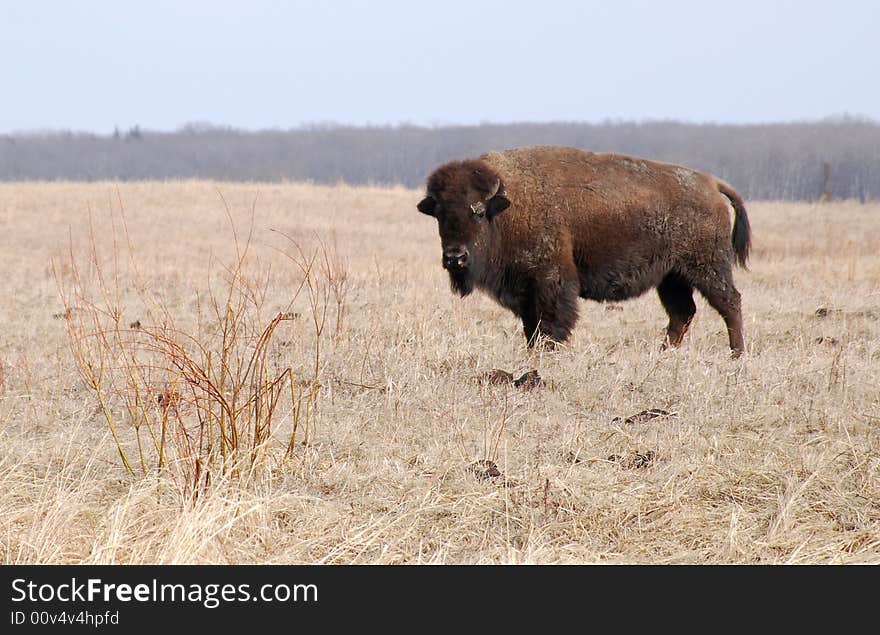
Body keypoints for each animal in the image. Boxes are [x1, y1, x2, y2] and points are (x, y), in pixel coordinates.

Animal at [416, 147, 752, 360]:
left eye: (477, 211)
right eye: (440, 214)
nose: (455, 257)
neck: (507, 207)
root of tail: (710, 183)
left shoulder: (550, 280)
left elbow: (550, 323)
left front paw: (545, 354)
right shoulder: (525, 291)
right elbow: (531, 326)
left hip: (707, 267)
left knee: (729, 303)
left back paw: (737, 355)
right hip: (671, 276)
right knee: (682, 313)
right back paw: (664, 354)